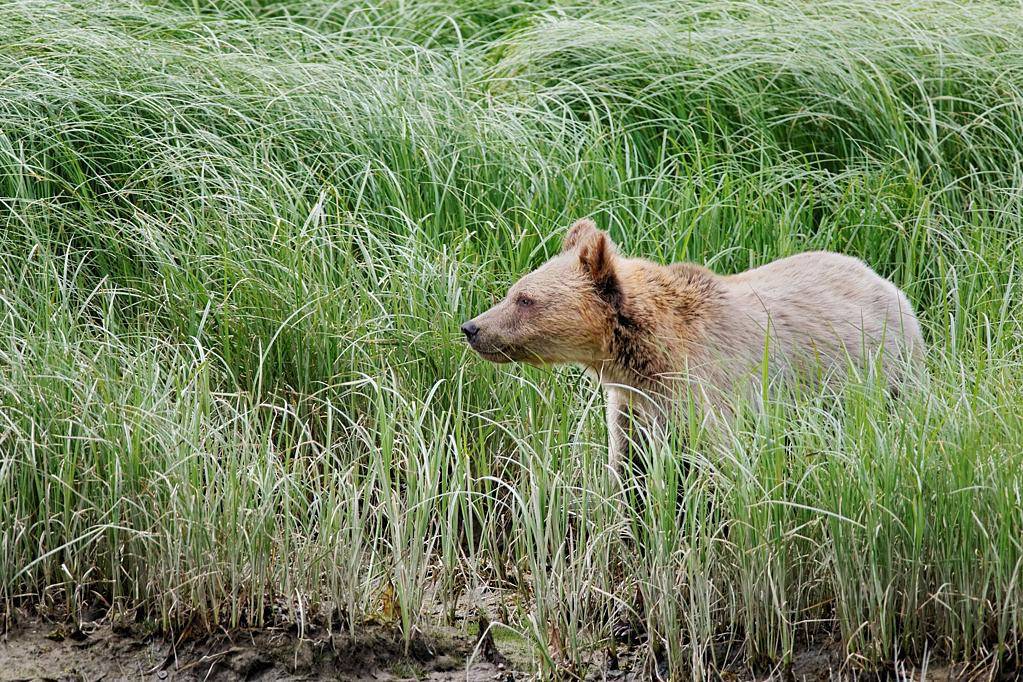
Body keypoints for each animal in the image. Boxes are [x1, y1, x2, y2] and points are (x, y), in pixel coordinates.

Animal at [464, 218, 928, 464]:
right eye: (513, 291)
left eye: (525, 299)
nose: (472, 327)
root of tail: (885, 281)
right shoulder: (632, 407)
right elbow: (628, 468)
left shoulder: (708, 388)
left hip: (886, 373)